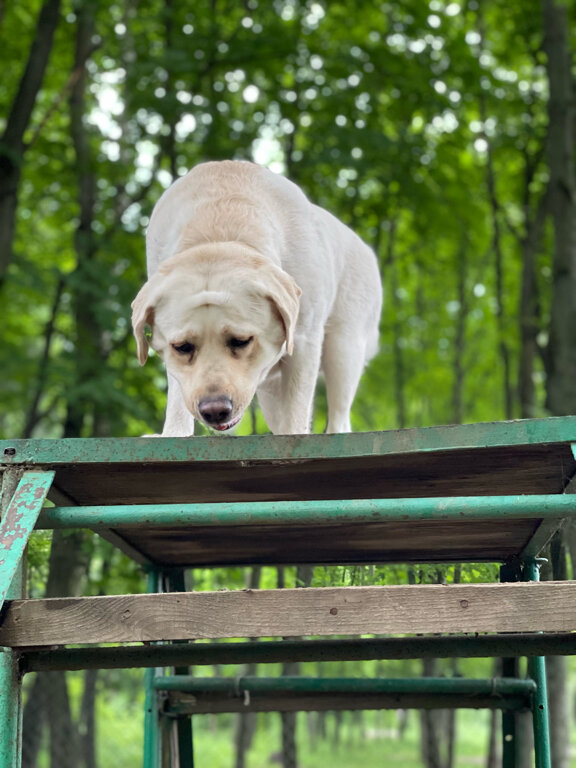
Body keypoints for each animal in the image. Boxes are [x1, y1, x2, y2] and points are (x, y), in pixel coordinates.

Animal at [132, 160, 382, 435]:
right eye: (183, 347)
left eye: (241, 341)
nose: (215, 410)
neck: (219, 230)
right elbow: (177, 399)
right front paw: (174, 434)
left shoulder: (305, 339)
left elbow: (297, 411)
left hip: (344, 348)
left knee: (340, 417)